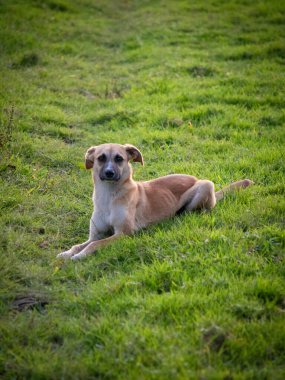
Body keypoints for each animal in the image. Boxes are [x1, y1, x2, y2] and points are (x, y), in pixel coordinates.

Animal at [56, 143, 252, 262]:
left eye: (119, 158)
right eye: (100, 158)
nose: (109, 173)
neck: (109, 196)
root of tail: (195, 178)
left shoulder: (123, 234)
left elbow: (94, 245)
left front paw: (79, 256)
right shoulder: (96, 234)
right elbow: (80, 244)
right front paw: (67, 253)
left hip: (205, 185)